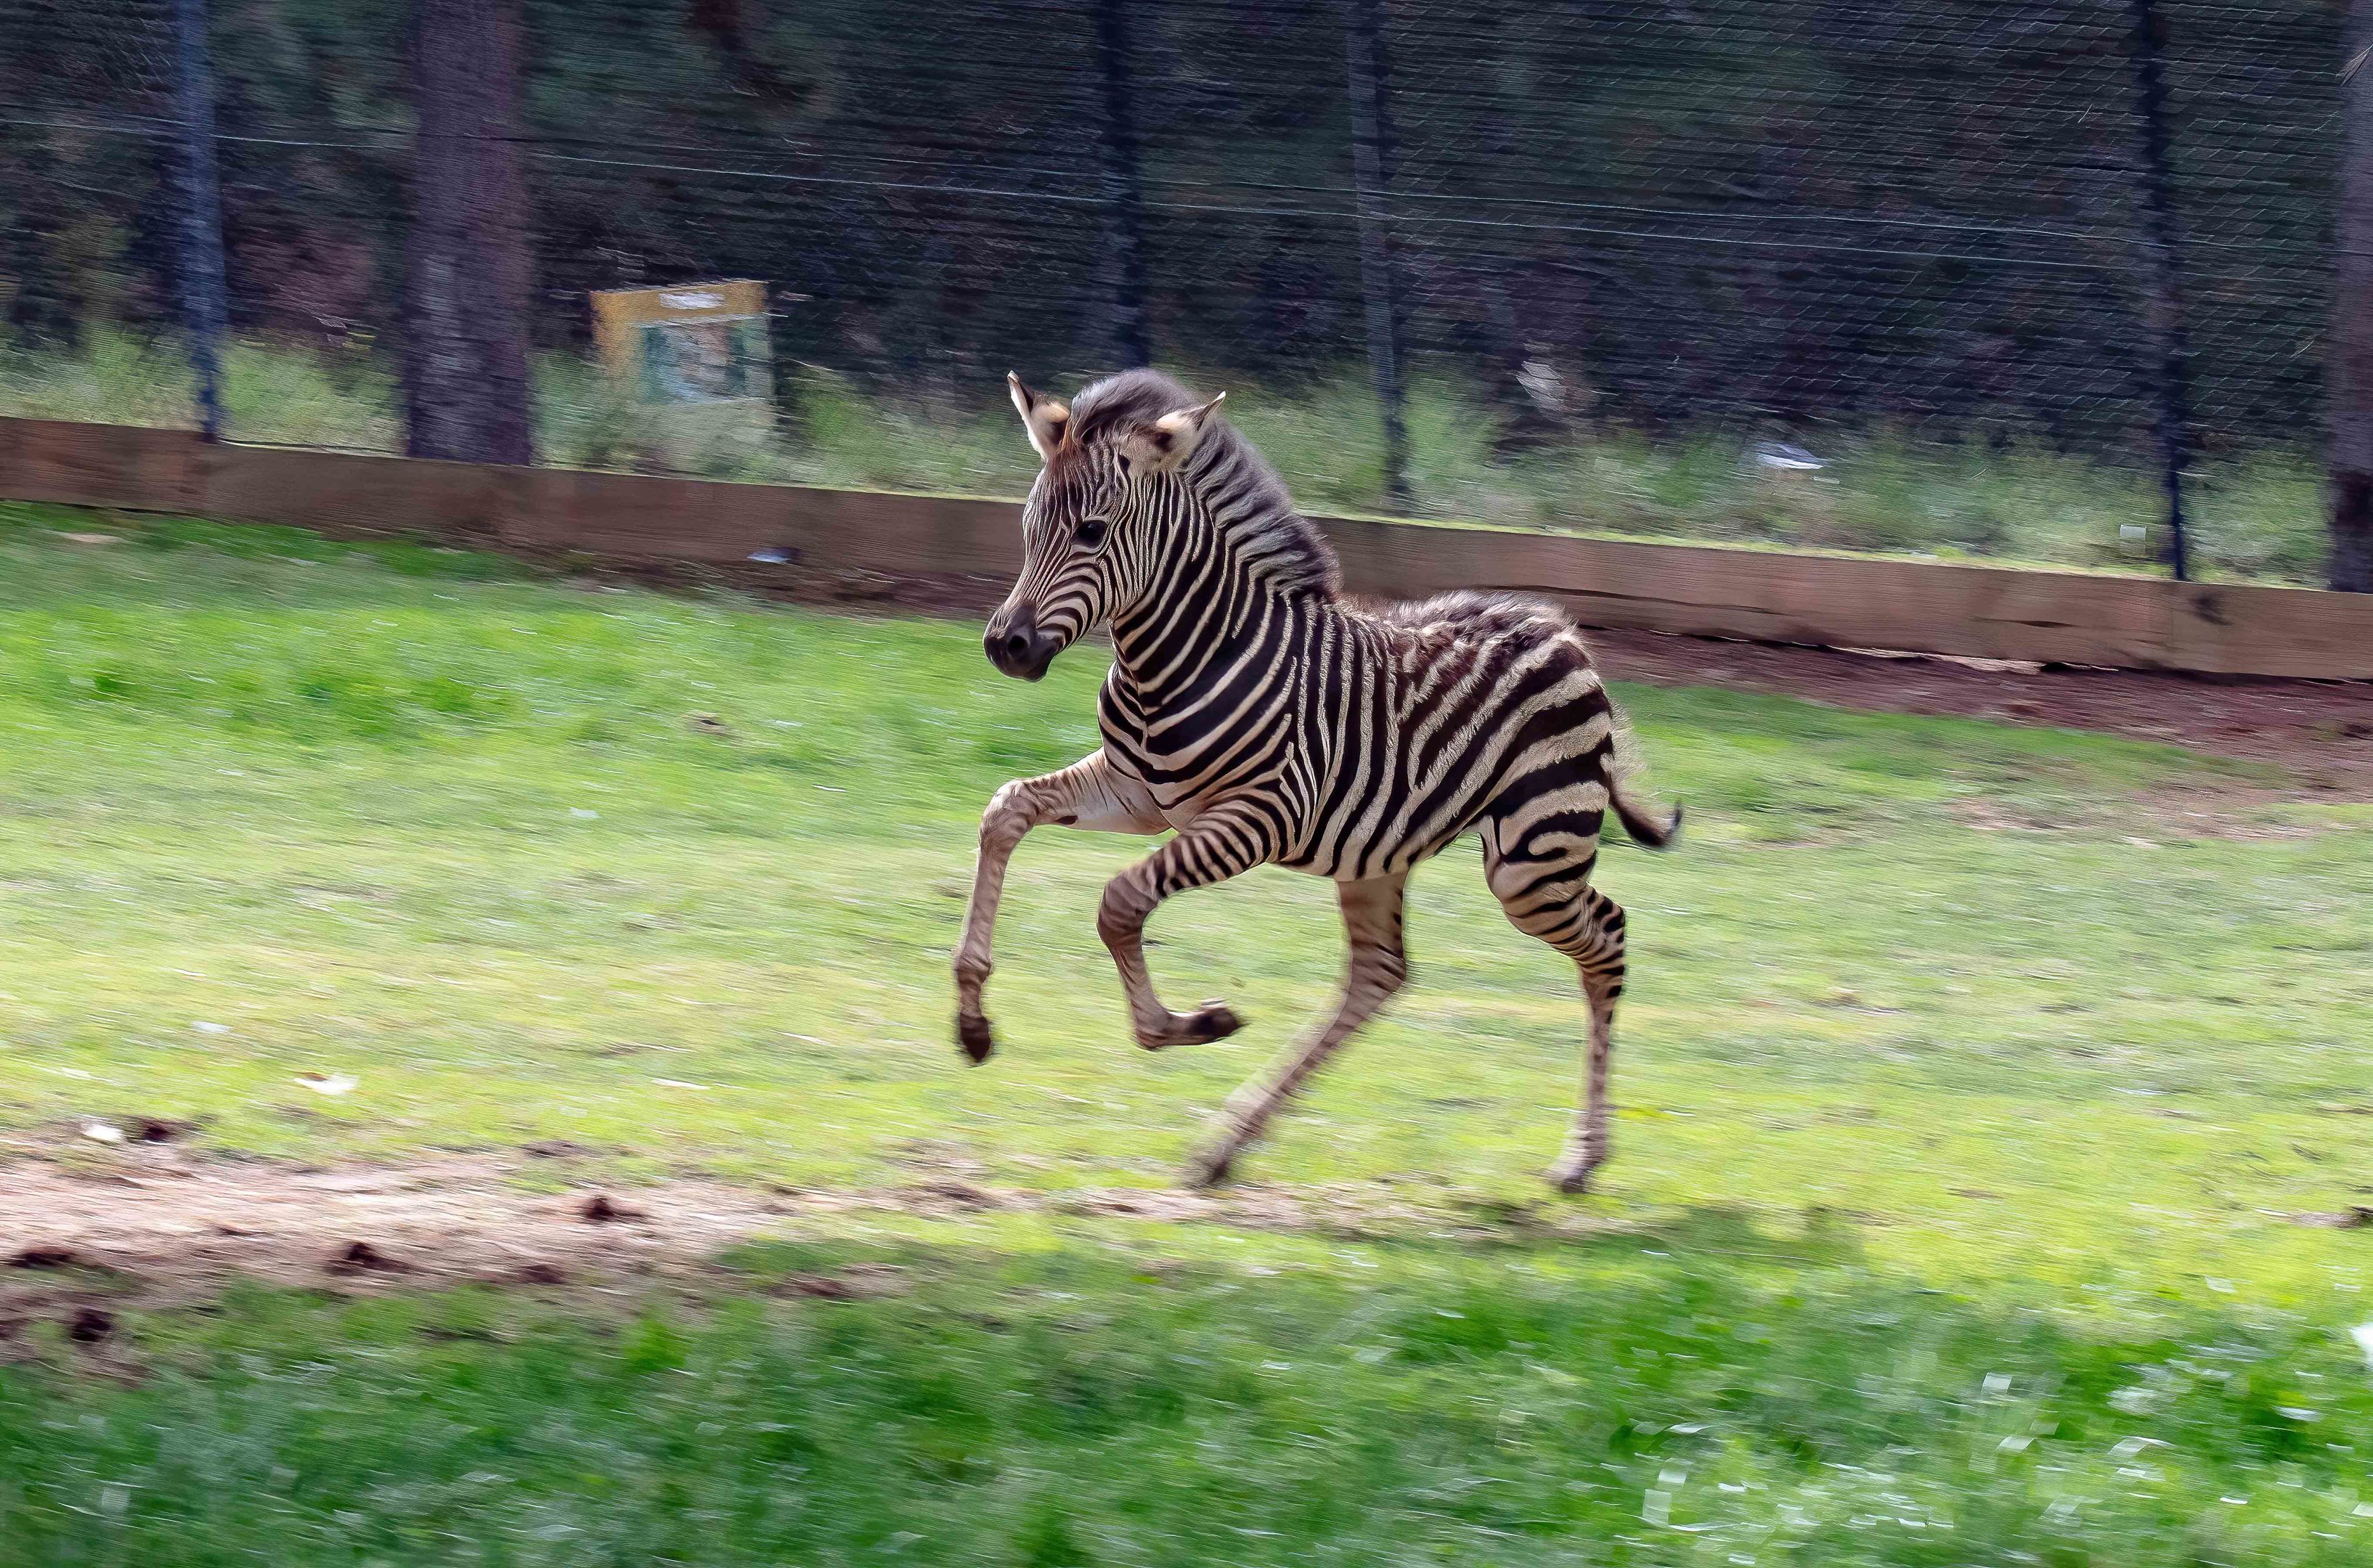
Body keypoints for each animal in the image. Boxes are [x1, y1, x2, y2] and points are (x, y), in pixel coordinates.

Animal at [952, 368, 1680, 1191]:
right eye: (1028, 526)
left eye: (1092, 533)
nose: (1005, 646)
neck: (1176, 660)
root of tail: (1558, 629)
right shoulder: (1137, 793)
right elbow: (1006, 811)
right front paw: (972, 1019)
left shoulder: (1260, 819)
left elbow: (1119, 903)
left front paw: (1183, 1026)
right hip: (1380, 852)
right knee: (1380, 974)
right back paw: (1228, 1144)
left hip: (1530, 863)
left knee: (1607, 937)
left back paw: (1583, 1158)